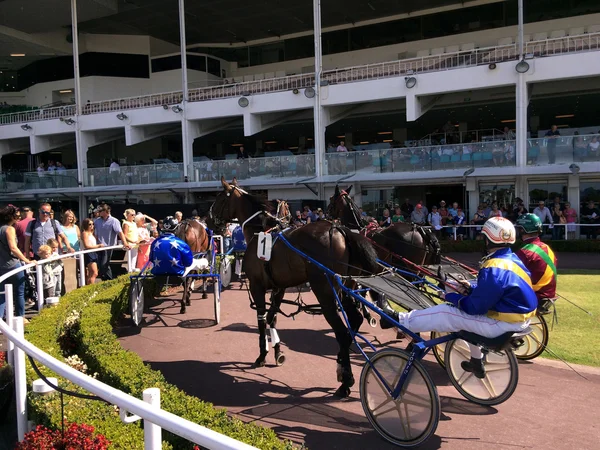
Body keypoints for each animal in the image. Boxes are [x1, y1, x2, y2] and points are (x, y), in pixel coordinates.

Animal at [207, 178, 380, 398]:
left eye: (220, 197)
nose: (209, 220)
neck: (259, 233)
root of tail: (338, 230)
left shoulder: (257, 286)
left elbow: (261, 320)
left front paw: (262, 355)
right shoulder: (279, 288)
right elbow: (272, 318)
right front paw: (278, 352)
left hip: (325, 292)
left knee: (341, 332)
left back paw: (345, 381)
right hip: (345, 289)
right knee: (354, 320)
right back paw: (341, 366)